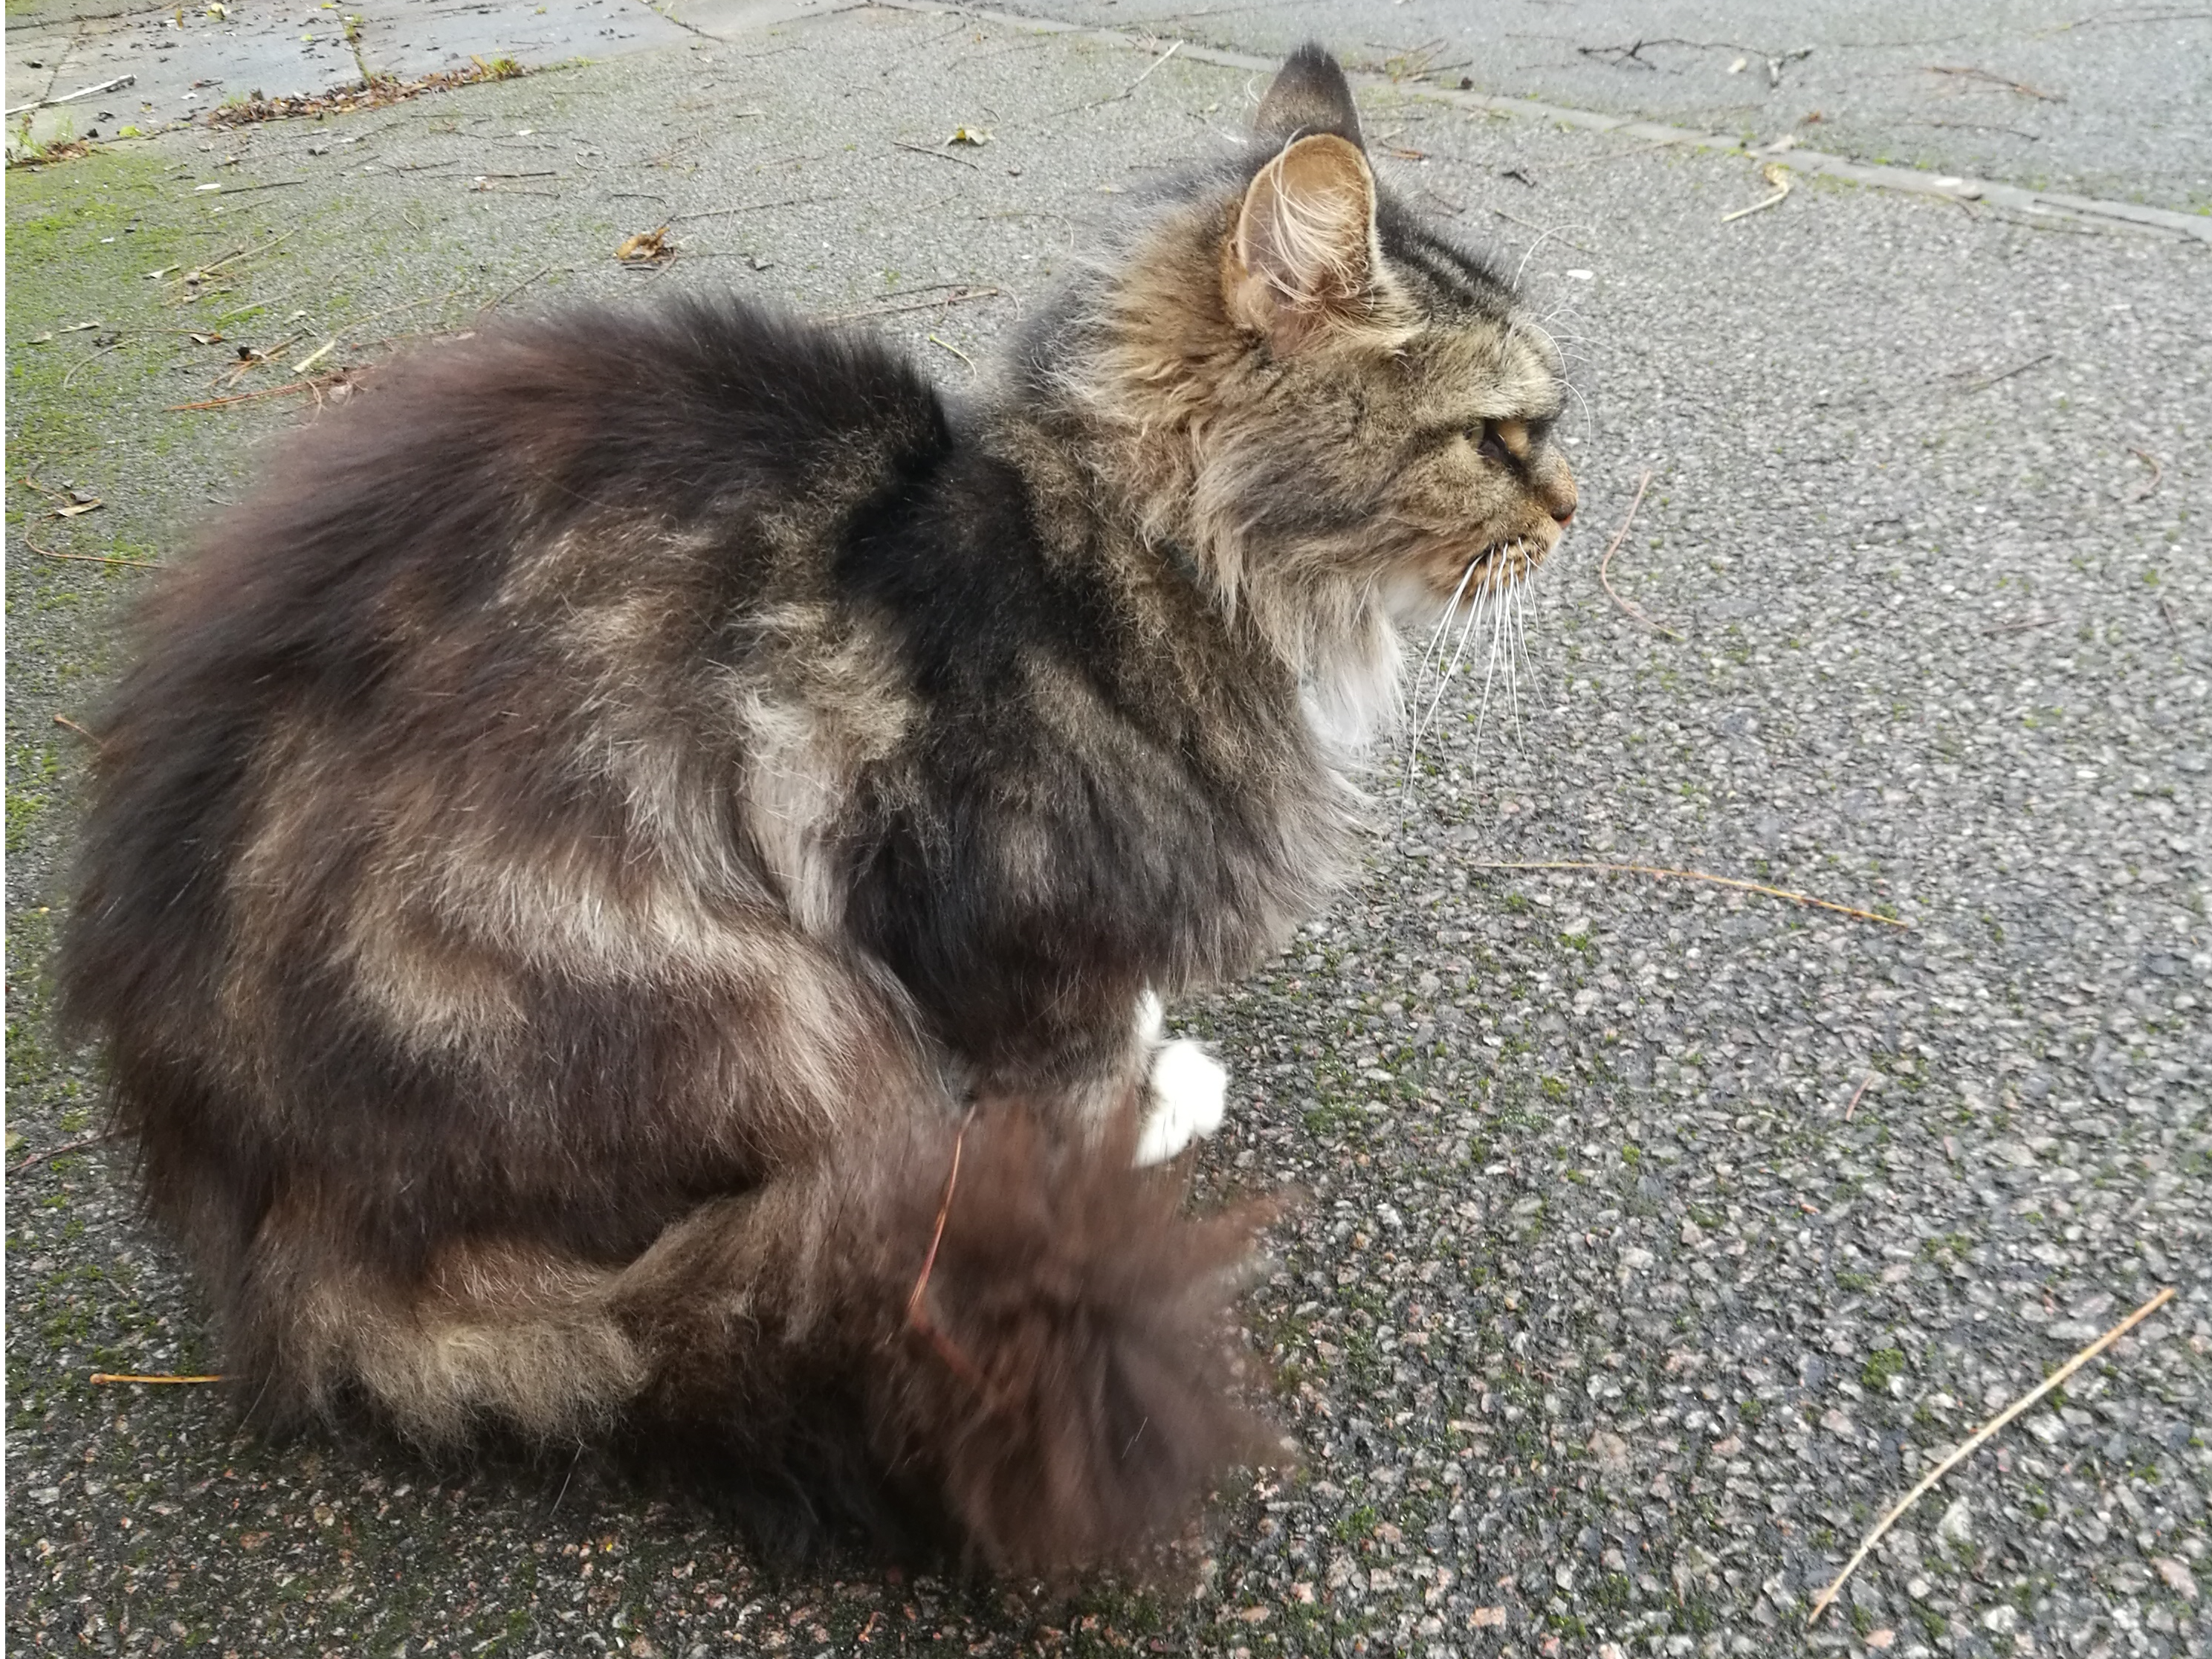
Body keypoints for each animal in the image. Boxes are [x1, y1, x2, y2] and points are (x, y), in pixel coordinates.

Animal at [56, 45, 1574, 1574]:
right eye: (1499, 436)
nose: (1571, 507)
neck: (1131, 563)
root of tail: (278, 1250)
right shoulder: (988, 904)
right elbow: (1076, 1063)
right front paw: (1135, 1125)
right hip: (749, 987)